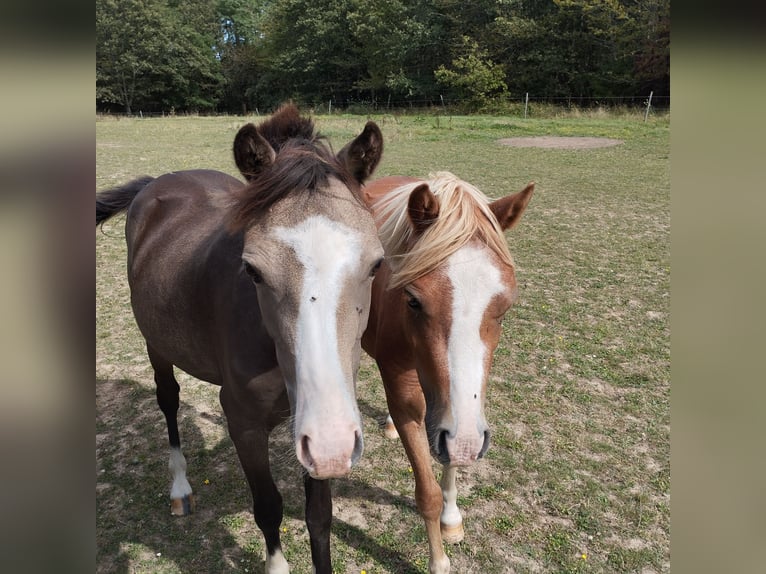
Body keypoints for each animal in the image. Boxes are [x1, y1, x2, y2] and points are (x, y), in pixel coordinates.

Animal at [96, 104, 384, 574]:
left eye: (376, 264)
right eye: (252, 270)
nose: (332, 442)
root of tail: (157, 182)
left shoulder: (317, 428)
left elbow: (319, 518)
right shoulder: (244, 424)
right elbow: (268, 507)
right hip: (156, 344)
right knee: (168, 400)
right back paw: (180, 487)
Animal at [362, 172, 536, 574]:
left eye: (505, 307)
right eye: (413, 299)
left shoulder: (456, 414)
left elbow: (452, 452)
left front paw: (452, 518)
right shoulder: (406, 395)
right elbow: (426, 491)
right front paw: (439, 560)